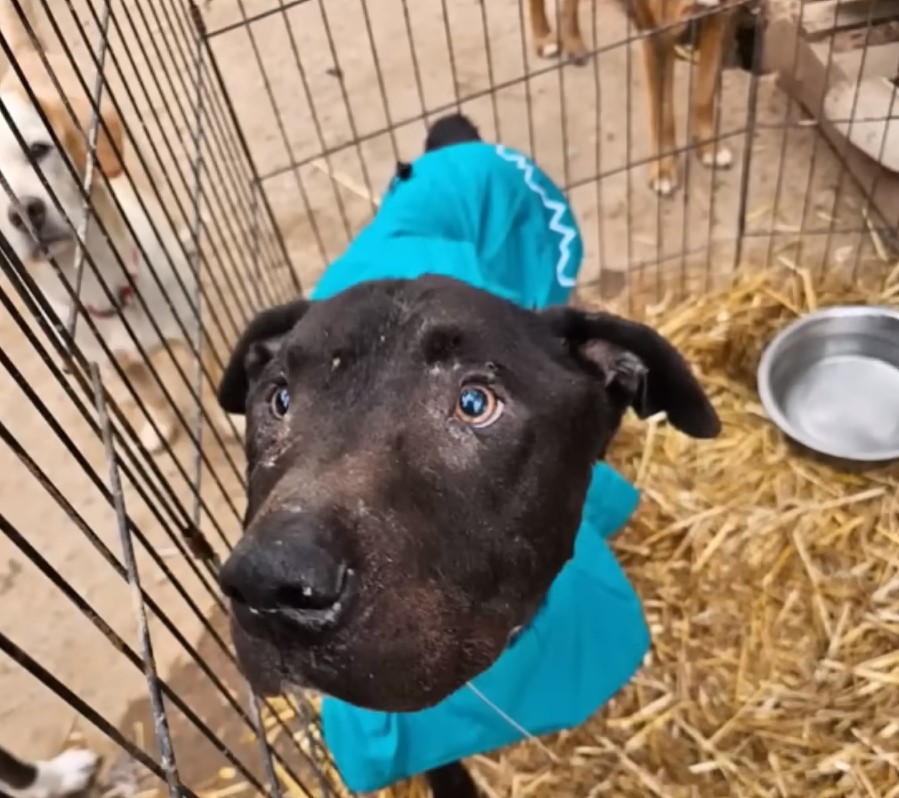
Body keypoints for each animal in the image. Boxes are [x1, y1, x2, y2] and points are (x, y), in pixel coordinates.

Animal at [0, 0, 236, 450]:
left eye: (37, 150)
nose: (24, 211)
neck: (104, 285)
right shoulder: (118, 369)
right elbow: (149, 395)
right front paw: (158, 424)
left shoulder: (193, 328)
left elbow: (211, 371)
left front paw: (230, 420)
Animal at [528, 0, 744, 195]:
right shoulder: (658, 34)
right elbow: (662, 114)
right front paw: (663, 170)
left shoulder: (718, 16)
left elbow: (704, 96)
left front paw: (710, 148)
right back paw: (543, 38)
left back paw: (574, 44)